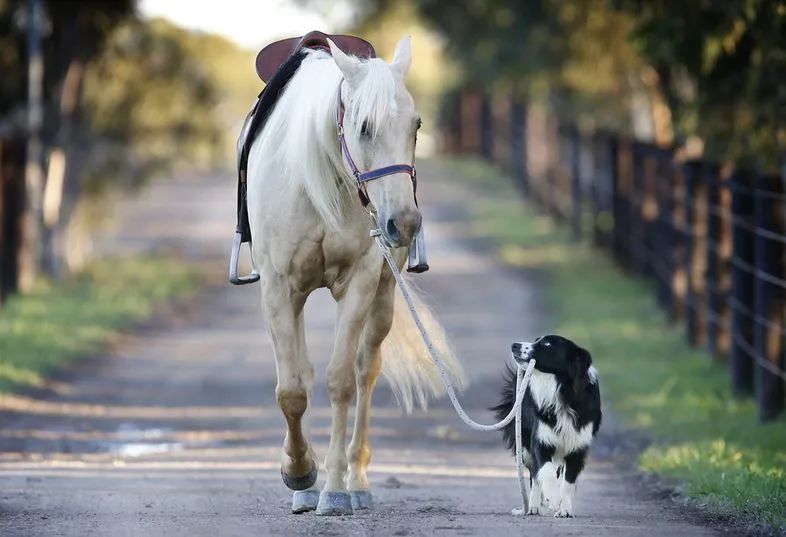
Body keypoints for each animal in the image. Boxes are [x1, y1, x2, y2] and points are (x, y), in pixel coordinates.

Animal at [247, 37, 466, 516]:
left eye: (416, 126)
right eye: (364, 127)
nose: (404, 224)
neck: (321, 181)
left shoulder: (361, 282)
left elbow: (342, 380)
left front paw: (333, 488)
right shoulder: (278, 288)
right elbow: (292, 390)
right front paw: (300, 473)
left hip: (384, 294)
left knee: (367, 370)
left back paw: (357, 480)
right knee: (303, 372)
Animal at [490, 336, 600, 516]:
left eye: (547, 344)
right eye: (536, 340)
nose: (514, 345)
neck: (563, 393)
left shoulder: (577, 447)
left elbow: (568, 482)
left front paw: (565, 510)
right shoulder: (541, 441)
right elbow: (546, 471)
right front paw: (553, 500)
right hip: (526, 444)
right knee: (535, 474)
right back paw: (533, 506)